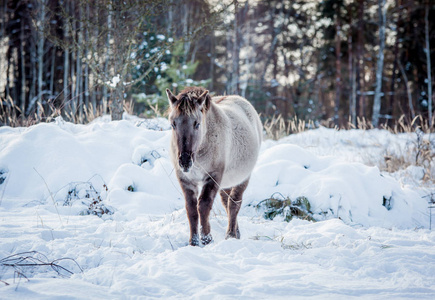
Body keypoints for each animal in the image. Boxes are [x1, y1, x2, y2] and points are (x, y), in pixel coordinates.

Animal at [166, 86, 262, 246]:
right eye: (173, 124)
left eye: (197, 123)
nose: (185, 160)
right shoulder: (186, 180)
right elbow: (191, 209)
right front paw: (193, 242)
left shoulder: (213, 176)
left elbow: (204, 206)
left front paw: (206, 239)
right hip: (226, 181)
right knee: (226, 202)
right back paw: (236, 232)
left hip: (243, 178)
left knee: (234, 204)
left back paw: (231, 234)